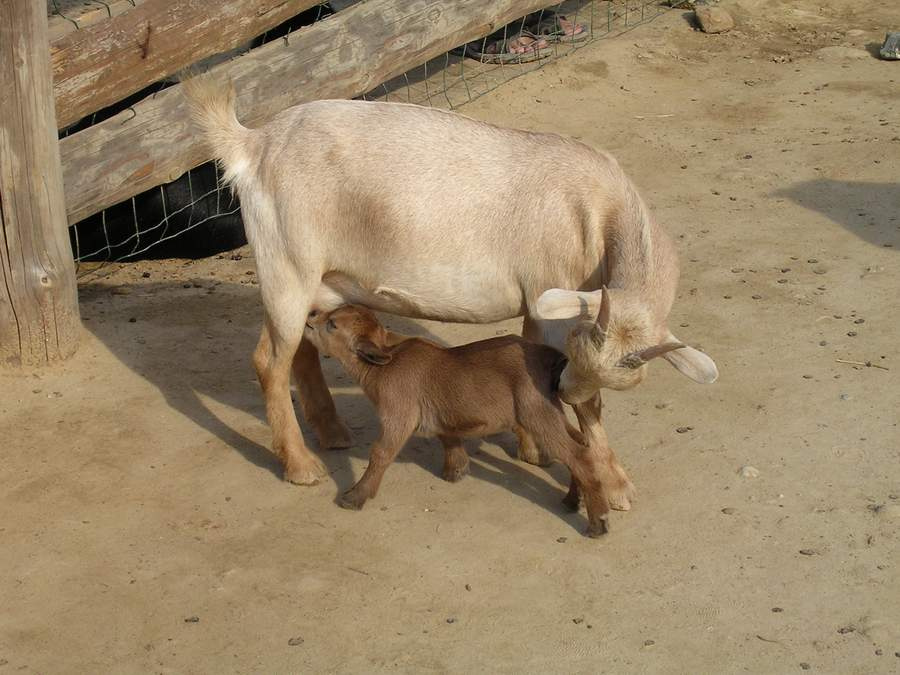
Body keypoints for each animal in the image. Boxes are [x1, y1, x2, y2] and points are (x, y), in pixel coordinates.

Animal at [183, 77, 718, 508]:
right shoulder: (553, 291)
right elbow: (588, 408)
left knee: (303, 345)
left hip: (320, 278)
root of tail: (254, 142)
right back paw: (300, 466)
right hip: (286, 262)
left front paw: (533, 449)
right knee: (270, 361)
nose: (564, 390)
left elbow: (532, 362)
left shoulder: (539, 303)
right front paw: (615, 486)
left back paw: (331, 434)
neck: (601, 208)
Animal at [305, 305, 613, 536]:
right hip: (551, 410)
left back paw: (598, 522)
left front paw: (355, 496)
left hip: (536, 413)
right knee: (580, 443)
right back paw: (573, 499)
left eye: (332, 324)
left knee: (578, 455)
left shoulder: (398, 414)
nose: (310, 317)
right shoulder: (439, 413)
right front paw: (456, 469)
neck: (384, 363)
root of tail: (548, 357)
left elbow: (381, 453)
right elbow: (447, 436)